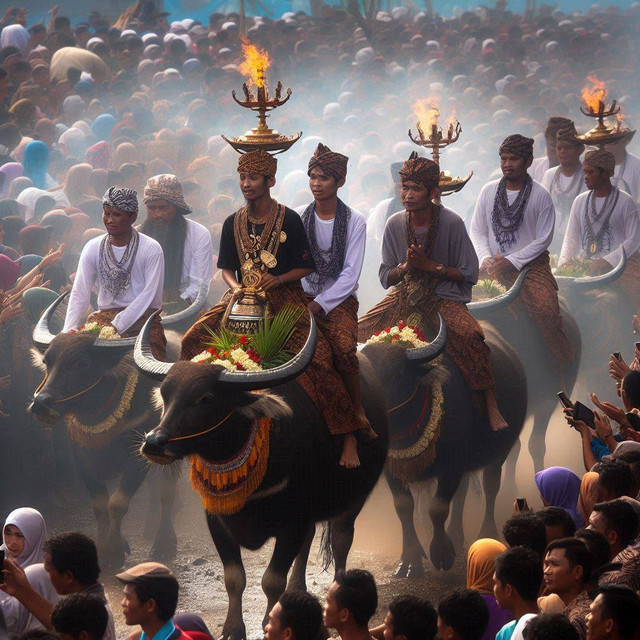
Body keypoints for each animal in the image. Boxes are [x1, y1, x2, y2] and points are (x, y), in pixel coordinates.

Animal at [135, 312, 452, 636]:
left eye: (206, 398)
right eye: (166, 394)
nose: (154, 442)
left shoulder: (292, 522)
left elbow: (271, 580)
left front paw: (269, 621)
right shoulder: (217, 519)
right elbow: (234, 578)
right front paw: (233, 628)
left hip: (353, 499)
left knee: (341, 540)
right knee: (309, 543)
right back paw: (298, 591)